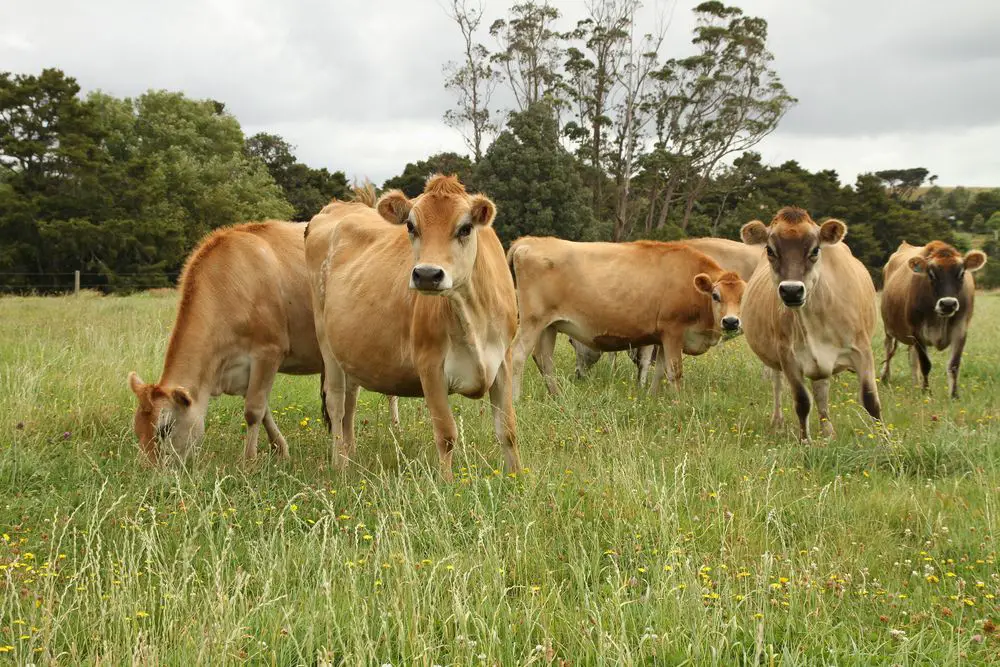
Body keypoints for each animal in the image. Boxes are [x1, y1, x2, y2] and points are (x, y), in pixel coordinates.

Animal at [306, 175, 524, 482]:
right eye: (411, 226)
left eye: (465, 228)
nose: (427, 274)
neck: (472, 316)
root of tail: (341, 206)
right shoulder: (429, 366)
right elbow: (446, 435)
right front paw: (448, 485)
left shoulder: (502, 361)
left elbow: (508, 431)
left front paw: (517, 477)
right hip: (326, 342)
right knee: (336, 404)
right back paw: (340, 465)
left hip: (350, 352)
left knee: (350, 403)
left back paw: (351, 456)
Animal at [508, 237, 752, 400]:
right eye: (716, 295)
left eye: (744, 298)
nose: (731, 322)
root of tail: (531, 241)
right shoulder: (673, 331)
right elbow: (674, 371)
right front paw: (678, 403)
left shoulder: (662, 337)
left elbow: (659, 370)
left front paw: (652, 398)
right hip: (532, 321)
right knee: (518, 355)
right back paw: (515, 399)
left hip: (549, 326)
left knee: (544, 359)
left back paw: (557, 396)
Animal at [740, 206, 880, 440]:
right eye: (770, 250)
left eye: (815, 250)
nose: (791, 290)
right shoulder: (787, 356)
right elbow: (802, 402)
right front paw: (805, 441)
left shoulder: (862, 350)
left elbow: (871, 400)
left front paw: (885, 440)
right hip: (776, 360)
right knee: (778, 385)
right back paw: (778, 422)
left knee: (821, 390)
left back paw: (828, 432)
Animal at [880, 240, 988, 396]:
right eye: (931, 275)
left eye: (961, 273)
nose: (948, 304)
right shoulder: (917, 331)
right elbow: (925, 364)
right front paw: (926, 392)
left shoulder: (961, 329)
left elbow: (954, 365)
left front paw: (954, 395)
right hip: (888, 326)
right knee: (888, 348)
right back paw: (885, 377)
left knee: (912, 358)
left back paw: (915, 383)